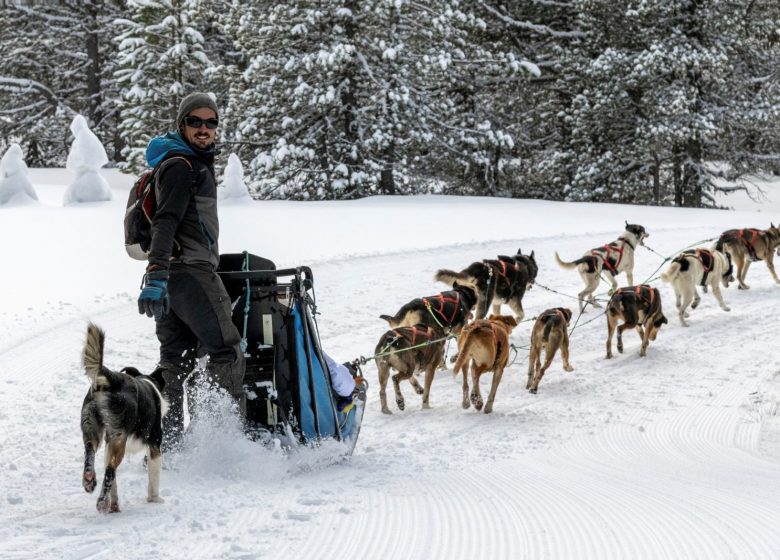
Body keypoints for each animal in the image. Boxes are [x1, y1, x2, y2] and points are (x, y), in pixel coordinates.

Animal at [80, 324, 168, 512]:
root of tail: (113, 379)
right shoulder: (155, 445)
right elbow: (154, 477)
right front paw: (155, 499)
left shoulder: (108, 445)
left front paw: (113, 505)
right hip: (118, 438)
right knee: (110, 471)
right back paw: (101, 501)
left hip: (92, 427)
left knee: (91, 453)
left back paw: (90, 481)